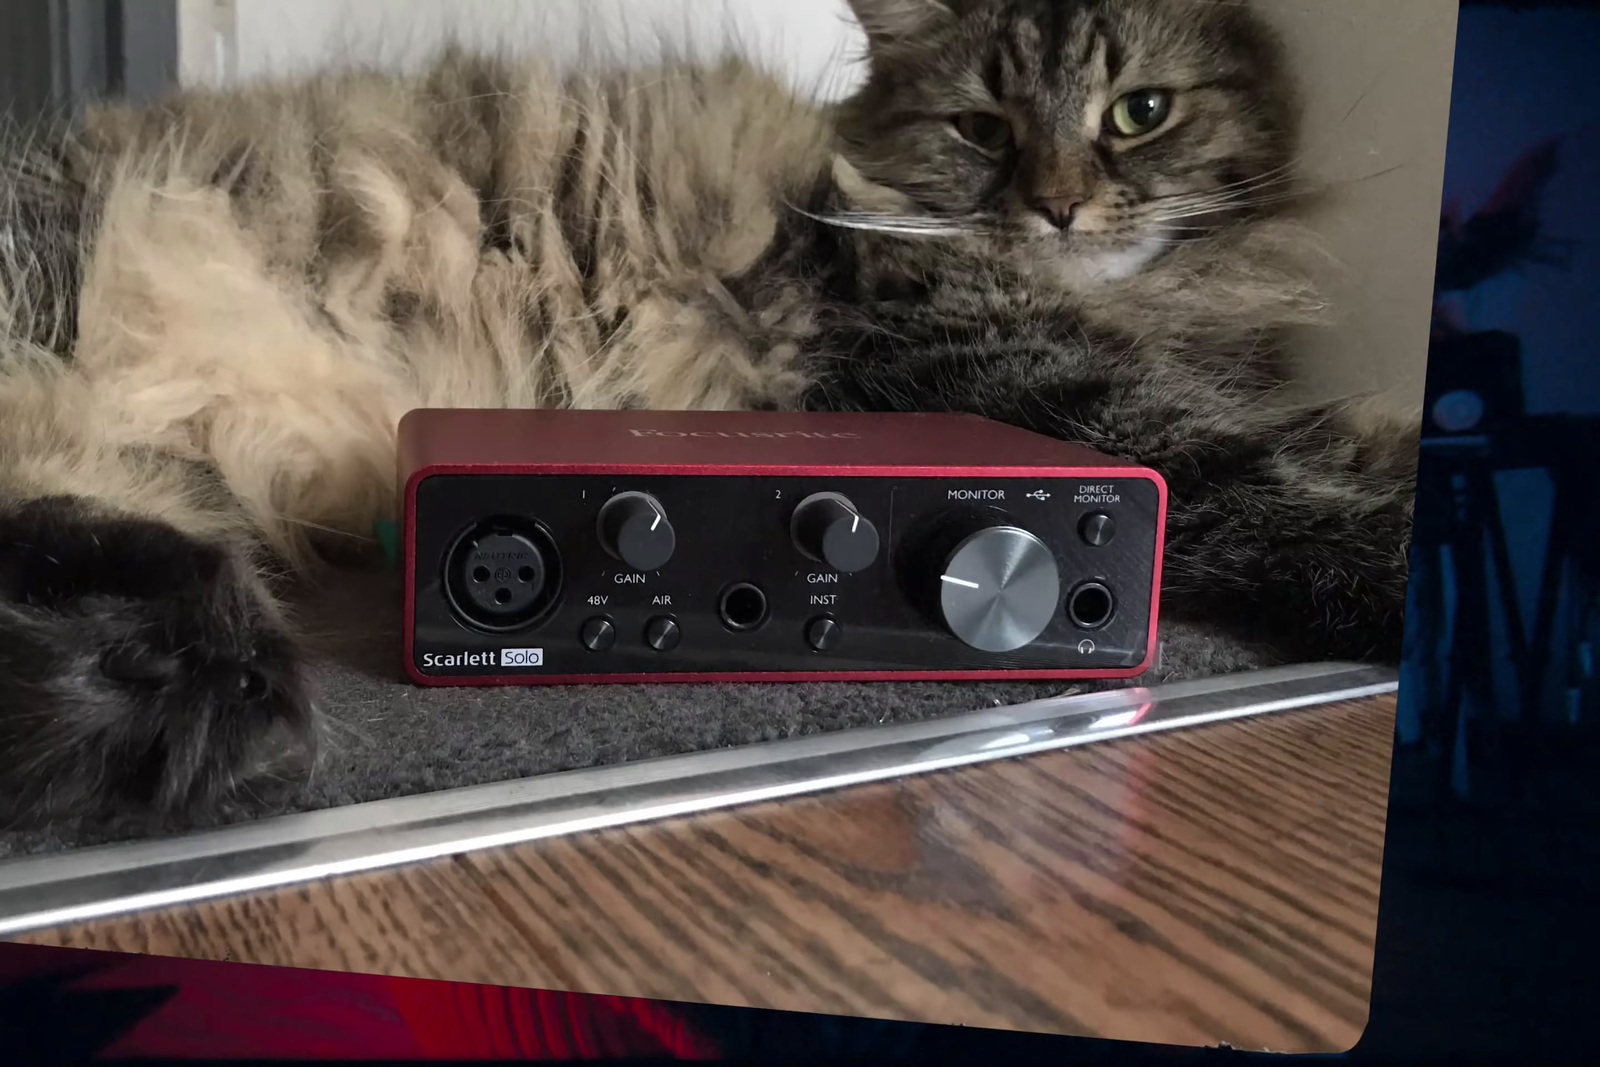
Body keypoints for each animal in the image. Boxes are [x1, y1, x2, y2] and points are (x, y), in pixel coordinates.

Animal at [0, 0, 1420, 825]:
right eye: (980, 127)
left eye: (1141, 114)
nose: (1060, 206)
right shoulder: (1010, 378)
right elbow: (1276, 477)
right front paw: (1406, 561)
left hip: (134, 474)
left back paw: (190, 697)